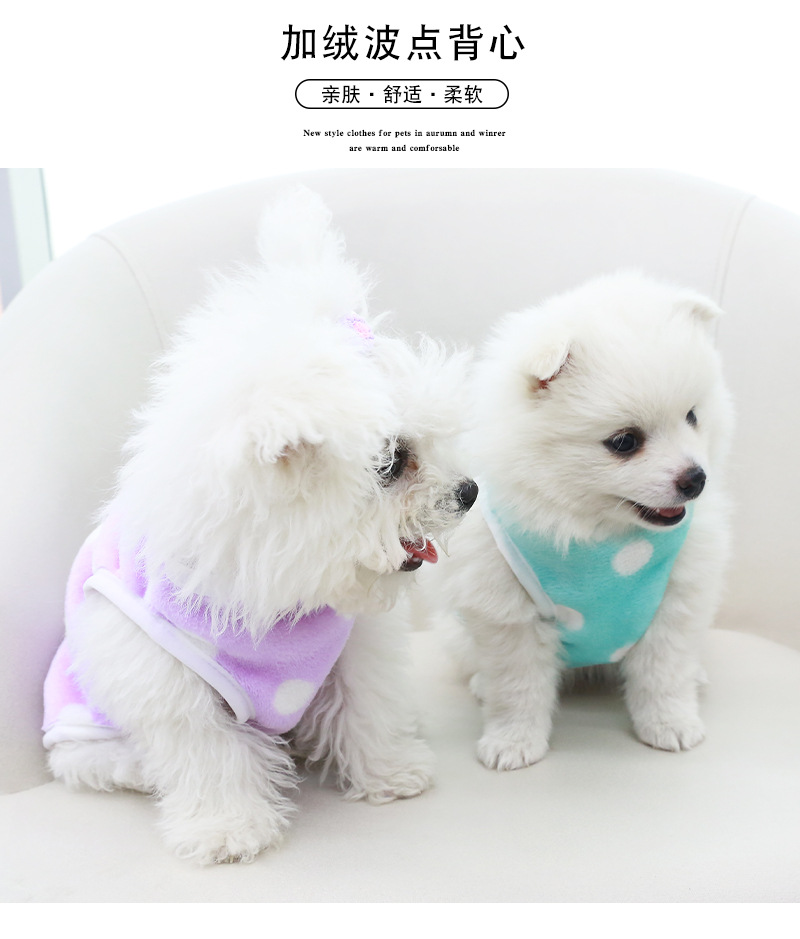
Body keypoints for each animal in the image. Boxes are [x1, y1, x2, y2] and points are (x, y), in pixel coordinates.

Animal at [43, 188, 477, 862]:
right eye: (392, 462)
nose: (469, 492)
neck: (274, 587)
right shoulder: (164, 674)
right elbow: (206, 753)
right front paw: (227, 828)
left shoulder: (354, 650)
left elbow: (367, 705)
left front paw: (390, 771)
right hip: (83, 728)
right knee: (106, 761)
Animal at [434, 271, 734, 770]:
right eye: (625, 442)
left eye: (692, 416)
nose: (696, 479)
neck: (600, 534)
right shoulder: (507, 613)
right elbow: (516, 686)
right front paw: (514, 740)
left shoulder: (675, 600)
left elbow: (665, 672)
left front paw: (670, 722)